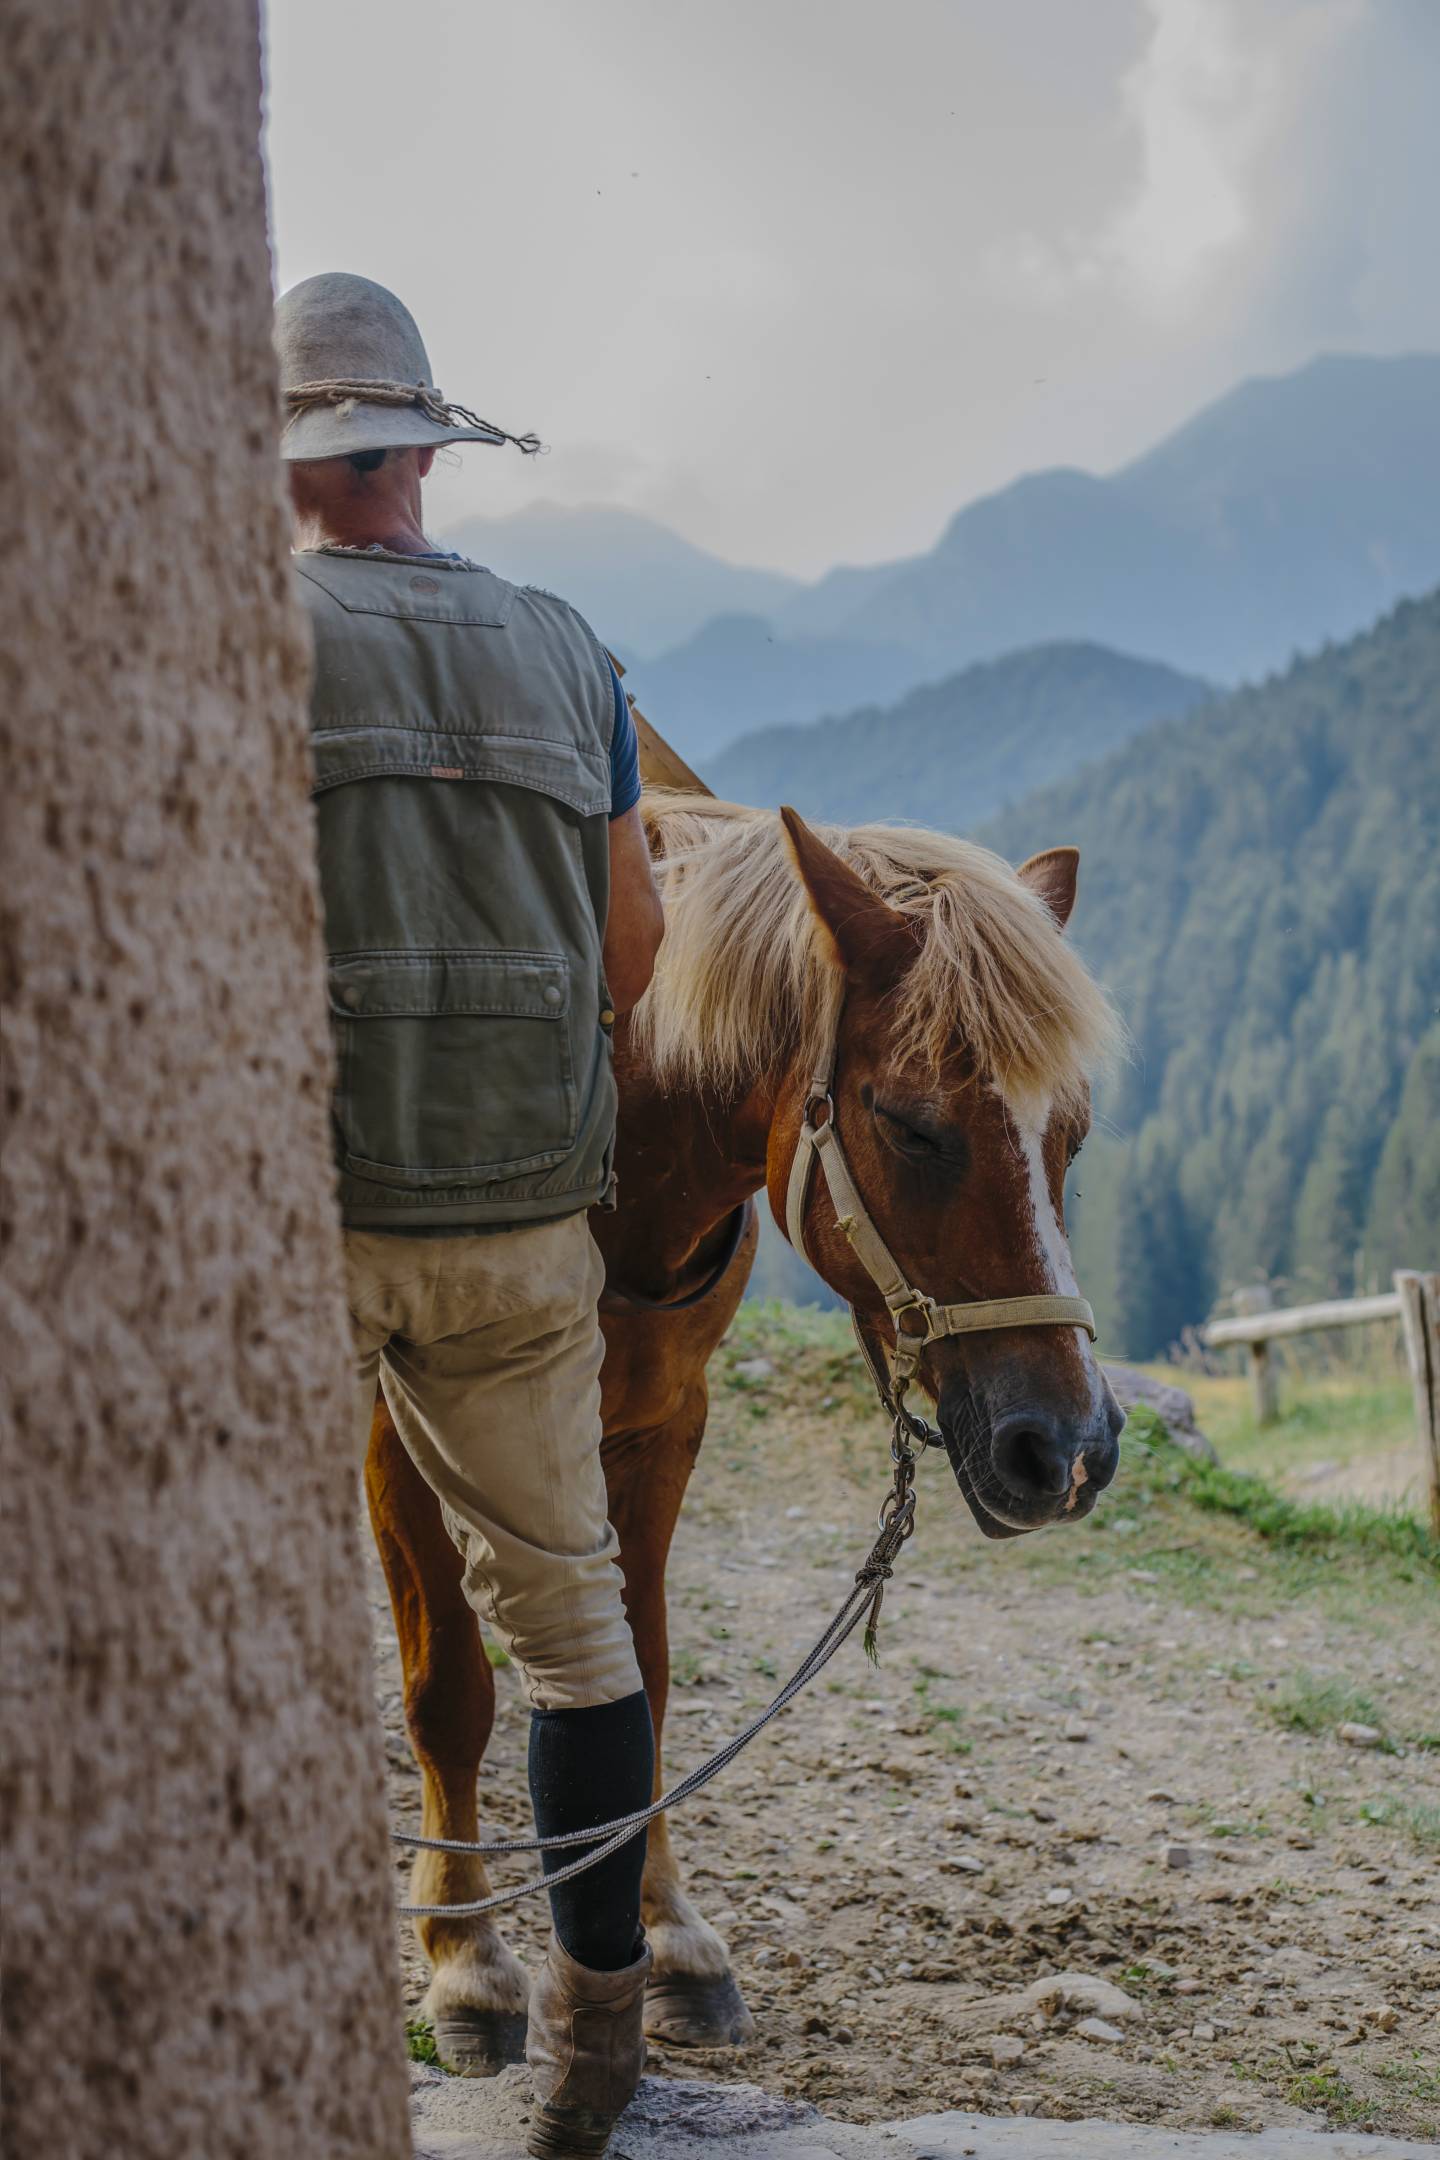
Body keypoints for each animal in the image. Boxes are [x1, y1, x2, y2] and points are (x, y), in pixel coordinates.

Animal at [362, 786, 1122, 2064]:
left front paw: (668, 1933)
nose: (1067, 1450)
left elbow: (644, 1680)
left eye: (1071, 1133)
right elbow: (449, 1691)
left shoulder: (658, 1427)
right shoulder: (396, 1430)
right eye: (910, 1125)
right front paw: (465, 1956)